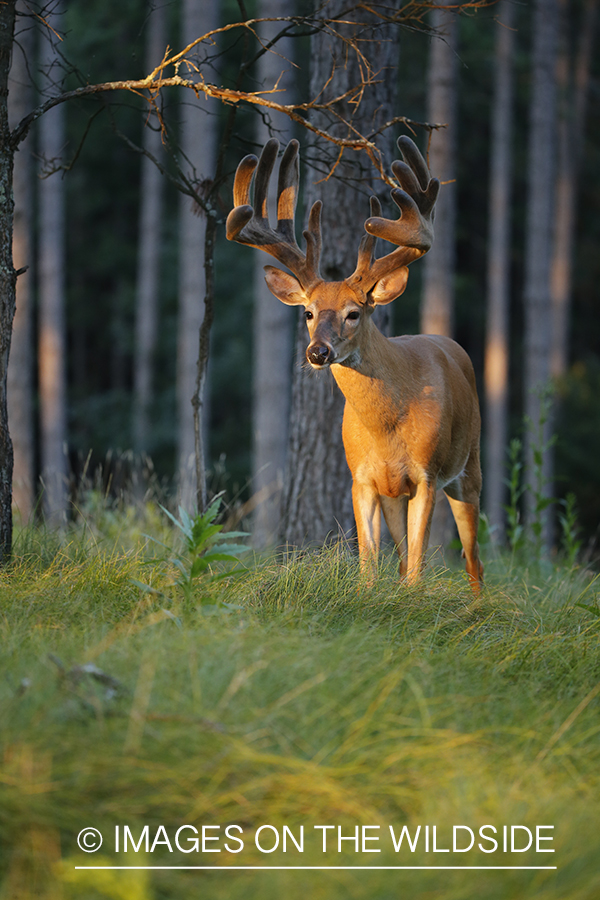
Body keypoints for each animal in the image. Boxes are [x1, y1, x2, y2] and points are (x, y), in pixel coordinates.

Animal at [225, 135, 482, 592]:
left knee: (473, 561)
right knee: (405, 556)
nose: (318, 353)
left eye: (353, 313)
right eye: (308, 313)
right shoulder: (361, 478)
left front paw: (412, 599)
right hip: (396, 493)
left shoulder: (427, 474)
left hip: (470, 467)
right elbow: (369, 563)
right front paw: (370, 595)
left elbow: (418, 567)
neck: (387, 428)